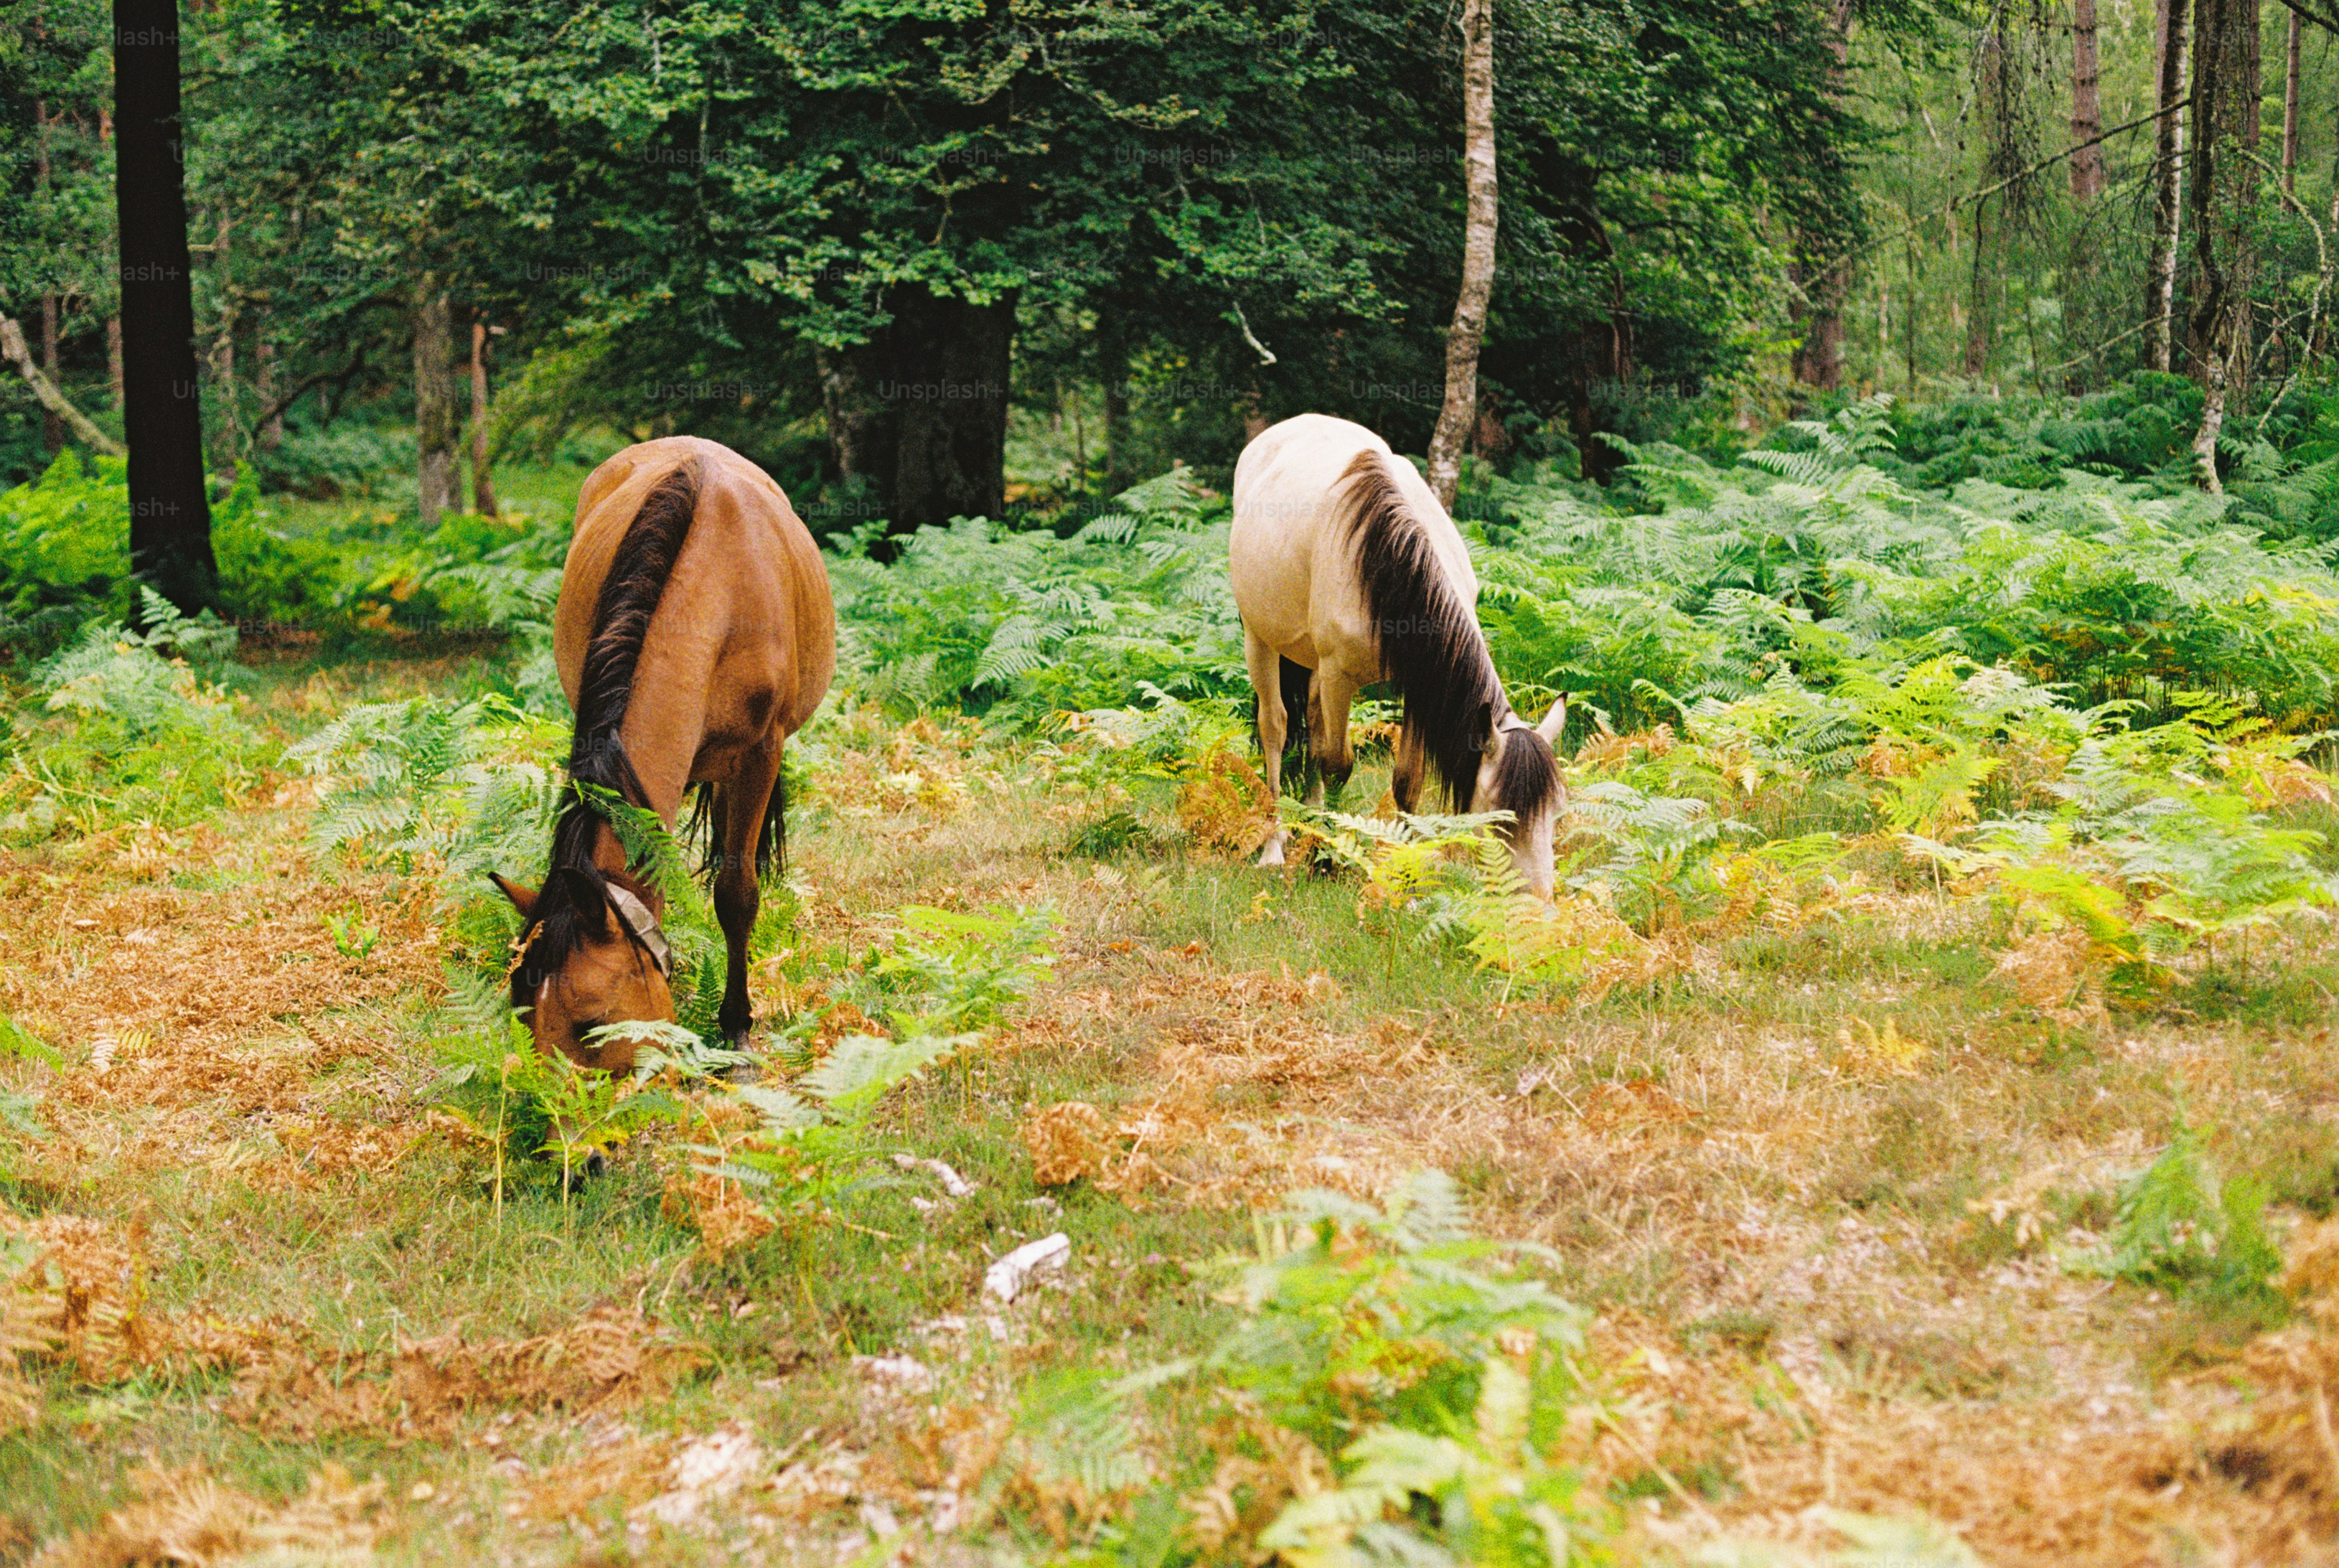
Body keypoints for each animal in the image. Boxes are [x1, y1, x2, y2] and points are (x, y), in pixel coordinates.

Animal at [489, 436, 836, 1077]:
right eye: (523, 1016)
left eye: (591, 1025)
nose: (565, 1105)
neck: (716, 592)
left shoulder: (761, 752)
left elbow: (737, 891)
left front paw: (737, 1028)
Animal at [1229, 413, 1567, 895]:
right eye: (1502, 821)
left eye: (1555, 813)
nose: (1537, 903)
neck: (1389, 561)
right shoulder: (1339, 676)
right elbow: (1338, 764)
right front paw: (1329, 858)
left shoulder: (1420, 684)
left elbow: (1407, 780)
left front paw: (1404, 873)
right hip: (1260, 640)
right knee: (1275, 727)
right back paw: (1276, 846)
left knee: (1311, 723)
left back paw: (1311, 820)